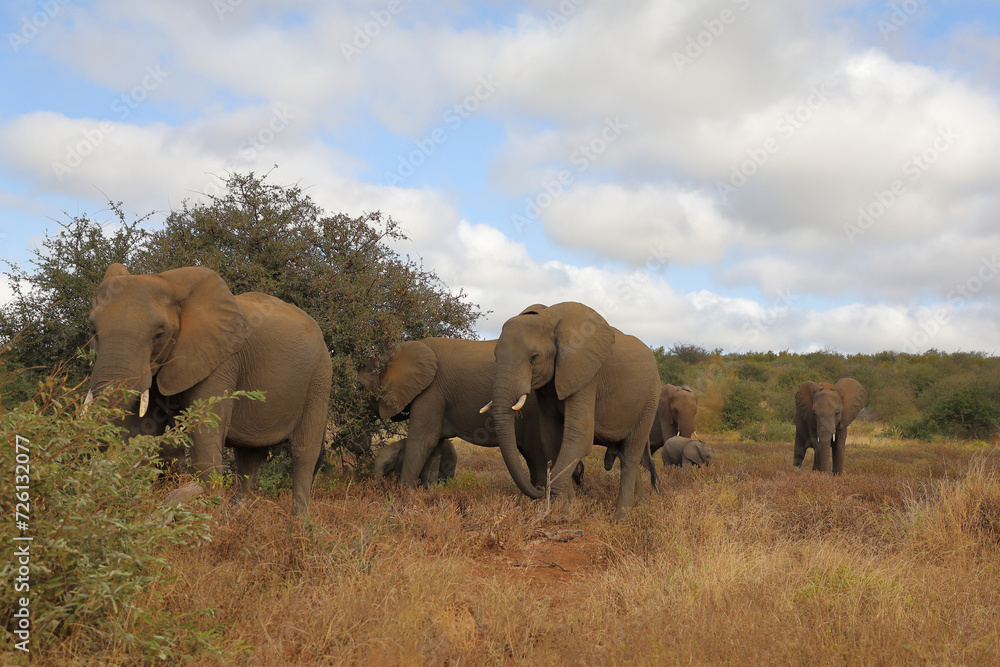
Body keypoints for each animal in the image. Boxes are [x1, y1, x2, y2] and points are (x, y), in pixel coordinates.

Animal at [87, 264, 332, 515]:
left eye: (159, 334)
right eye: (92, 329)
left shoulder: (221, 360)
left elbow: (204, 433)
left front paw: (204, 512)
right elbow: (142, 431)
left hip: (319, 378)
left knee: (303, 452)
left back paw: (298, 522)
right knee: (248, 455)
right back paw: (237, 515)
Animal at [358, 337, 558, 490]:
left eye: (360, 387)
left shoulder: (431, 389)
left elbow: (423, 439)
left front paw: (405, 495)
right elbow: (434, 444)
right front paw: (427, 492)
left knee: (538, 456)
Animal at [487, 302, 661, 521]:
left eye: (533, 358)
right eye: (495, 356)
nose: (538, 488)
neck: (549, 317)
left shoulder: (586, 374)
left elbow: (580, 436)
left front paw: (562, 510)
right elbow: (551, 436)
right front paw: (568, 506)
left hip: (650, 399)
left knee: (631, 454)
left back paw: (620, 517)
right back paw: (640, 506)